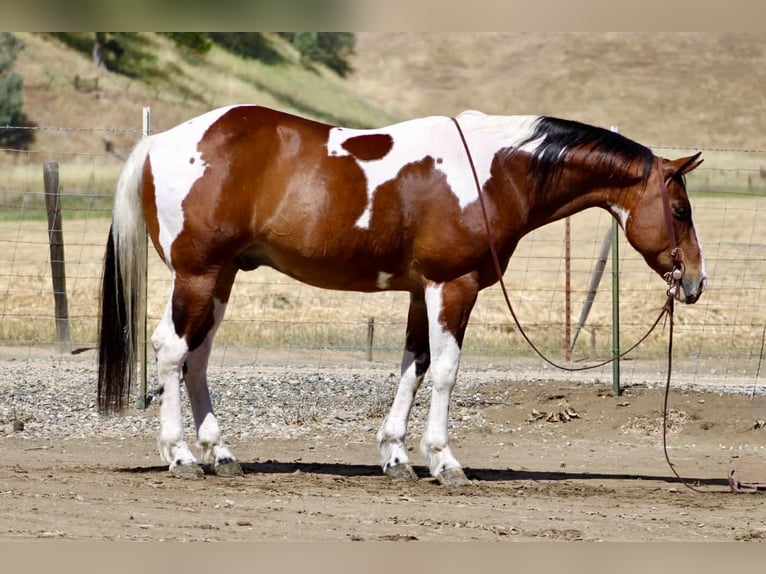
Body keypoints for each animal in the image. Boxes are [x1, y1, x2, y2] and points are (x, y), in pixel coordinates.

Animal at [98, 105, 706, 485]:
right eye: (680, 209)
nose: (696, 281)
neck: (495, 171)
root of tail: (161, 141)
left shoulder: (421, 292)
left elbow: (413, 368)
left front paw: (395, 456)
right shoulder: (453, 286)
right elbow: (445, 373)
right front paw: (444, 462)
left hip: (221, 278)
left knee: (197, 359)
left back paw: (221, 454)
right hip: (198, 275)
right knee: (171, 351)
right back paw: (179, 455)